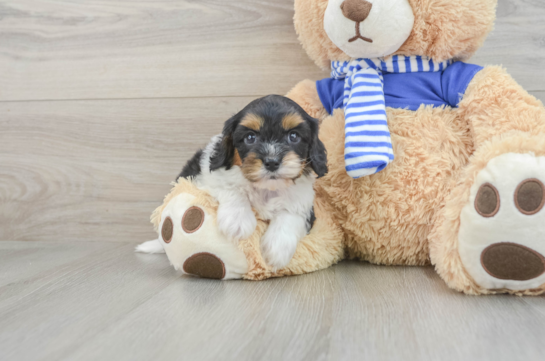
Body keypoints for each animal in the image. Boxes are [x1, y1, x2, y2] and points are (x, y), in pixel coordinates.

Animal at [177, 94, 328, 268]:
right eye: (250, 137)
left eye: (294, 136)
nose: (272, 162)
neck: (267, 188)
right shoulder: (206, 179)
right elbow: (230, 187)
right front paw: (237, 220)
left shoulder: (305, 204)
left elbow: (291, 215)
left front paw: (277, 248)